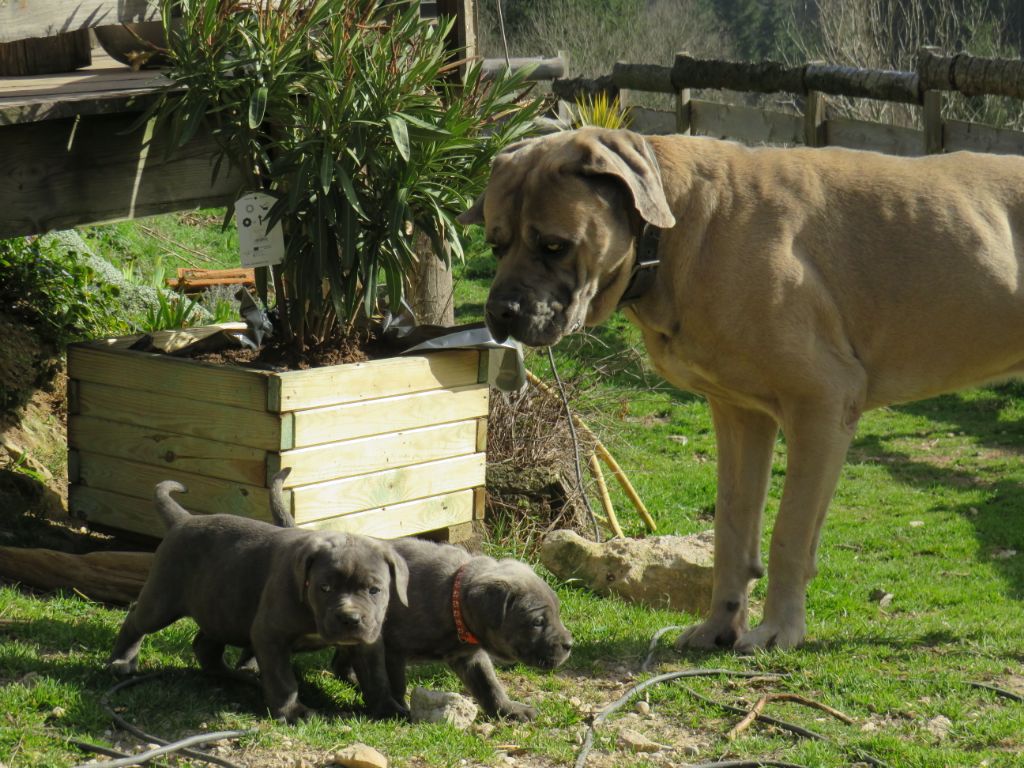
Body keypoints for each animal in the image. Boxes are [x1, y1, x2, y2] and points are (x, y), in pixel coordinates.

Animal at [105, 483, 405, 724]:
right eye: (325, 588)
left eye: (375, 590)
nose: (350, 619)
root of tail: (185, 519)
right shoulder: (270, 635)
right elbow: (284, 680)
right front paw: (293, 712)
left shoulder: (369, 642)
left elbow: (377, 678)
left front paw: (390, 708)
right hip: (162, 601)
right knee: (135, 620)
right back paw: (122, 660)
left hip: (222, 609)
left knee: (205, 646)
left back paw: (236, 676)